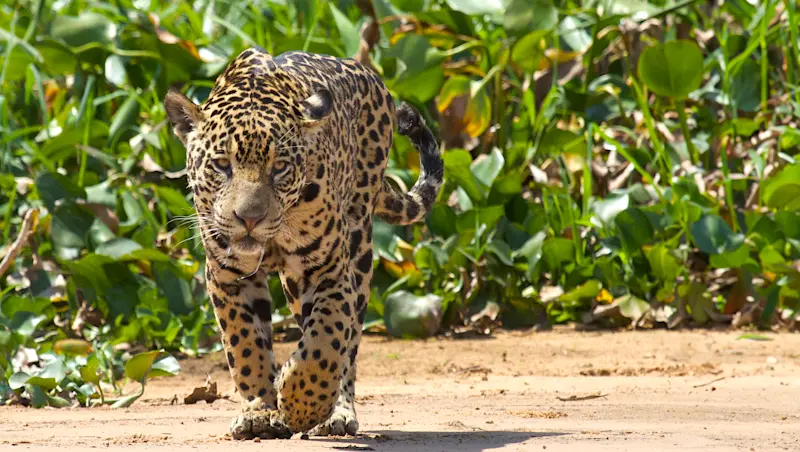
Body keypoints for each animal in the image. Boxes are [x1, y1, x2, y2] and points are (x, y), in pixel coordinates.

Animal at [163, 47, 443, 440]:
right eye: (221, 165)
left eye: (279, 168)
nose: (249, 218)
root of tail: (370, 76)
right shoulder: (226, 275)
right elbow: (245, 344)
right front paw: (260, 411)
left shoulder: (327, 272)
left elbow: (325, 341)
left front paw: (300, 403)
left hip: (358, 251)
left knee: (349, 344)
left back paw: (337, 412)